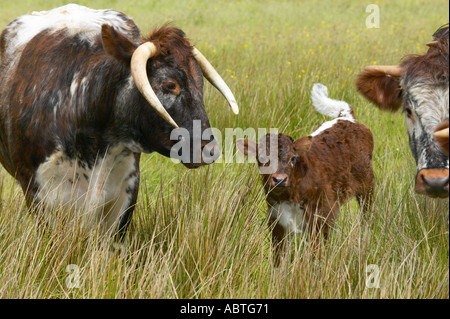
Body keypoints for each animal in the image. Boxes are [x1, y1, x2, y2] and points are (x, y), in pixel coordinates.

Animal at [237, 84, 374, 264]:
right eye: (262, 158)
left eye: (293, 158)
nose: (279, 180)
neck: (290, 196)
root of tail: (346, 118)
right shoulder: (276, 222)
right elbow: (278, 260)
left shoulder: (322, 218)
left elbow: (316, 256)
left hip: (367, 186)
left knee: (367, 214)